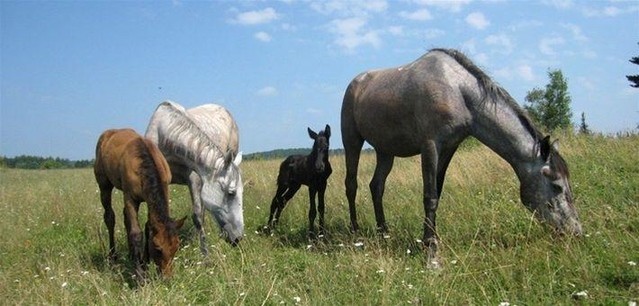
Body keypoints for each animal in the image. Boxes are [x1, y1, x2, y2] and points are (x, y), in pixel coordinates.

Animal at [94, 128, 186, 278]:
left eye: (176, 247)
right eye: (158, 248)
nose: (167, 277)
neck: (143, 166)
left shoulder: (153, 197)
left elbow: (148, 226)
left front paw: (145, 261)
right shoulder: (130, 197)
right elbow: (136, 233)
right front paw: (140, 275)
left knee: (126, 218)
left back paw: (132, 254)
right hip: (104, 185)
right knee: (109, 217)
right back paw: (113, 256)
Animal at [342, 48, 584, 268]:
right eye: (557, 186)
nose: (576, 232)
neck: (458, 92)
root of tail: (355, 83)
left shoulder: (449, 147)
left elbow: (437, 194)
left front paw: (430, 242)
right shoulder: (430, 146)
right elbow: (429, 197)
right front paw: (431, 254)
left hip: (385, 151)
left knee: (377, 186)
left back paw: (384, 232)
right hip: (352, 141)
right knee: (351, 185)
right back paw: (355, 231)